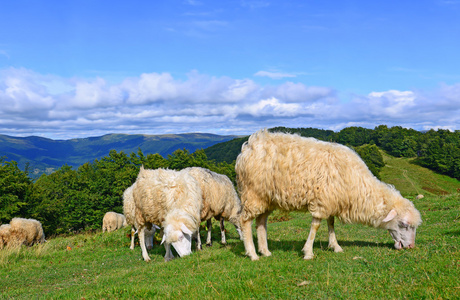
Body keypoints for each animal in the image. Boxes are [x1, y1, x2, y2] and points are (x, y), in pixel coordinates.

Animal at [235, 130, 422, 262]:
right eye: (404, 224)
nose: (411, 246)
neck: (358, 185)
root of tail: (248, 147)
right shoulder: (322, 201)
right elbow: (316, 227)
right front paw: (308, 252)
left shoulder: (331, 200)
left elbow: (331, 224)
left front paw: (335, 246)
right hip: (252, 193)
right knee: (244, 221)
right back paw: (252, 254)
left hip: (267, 198)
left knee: (261, 222)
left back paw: (265, 251)